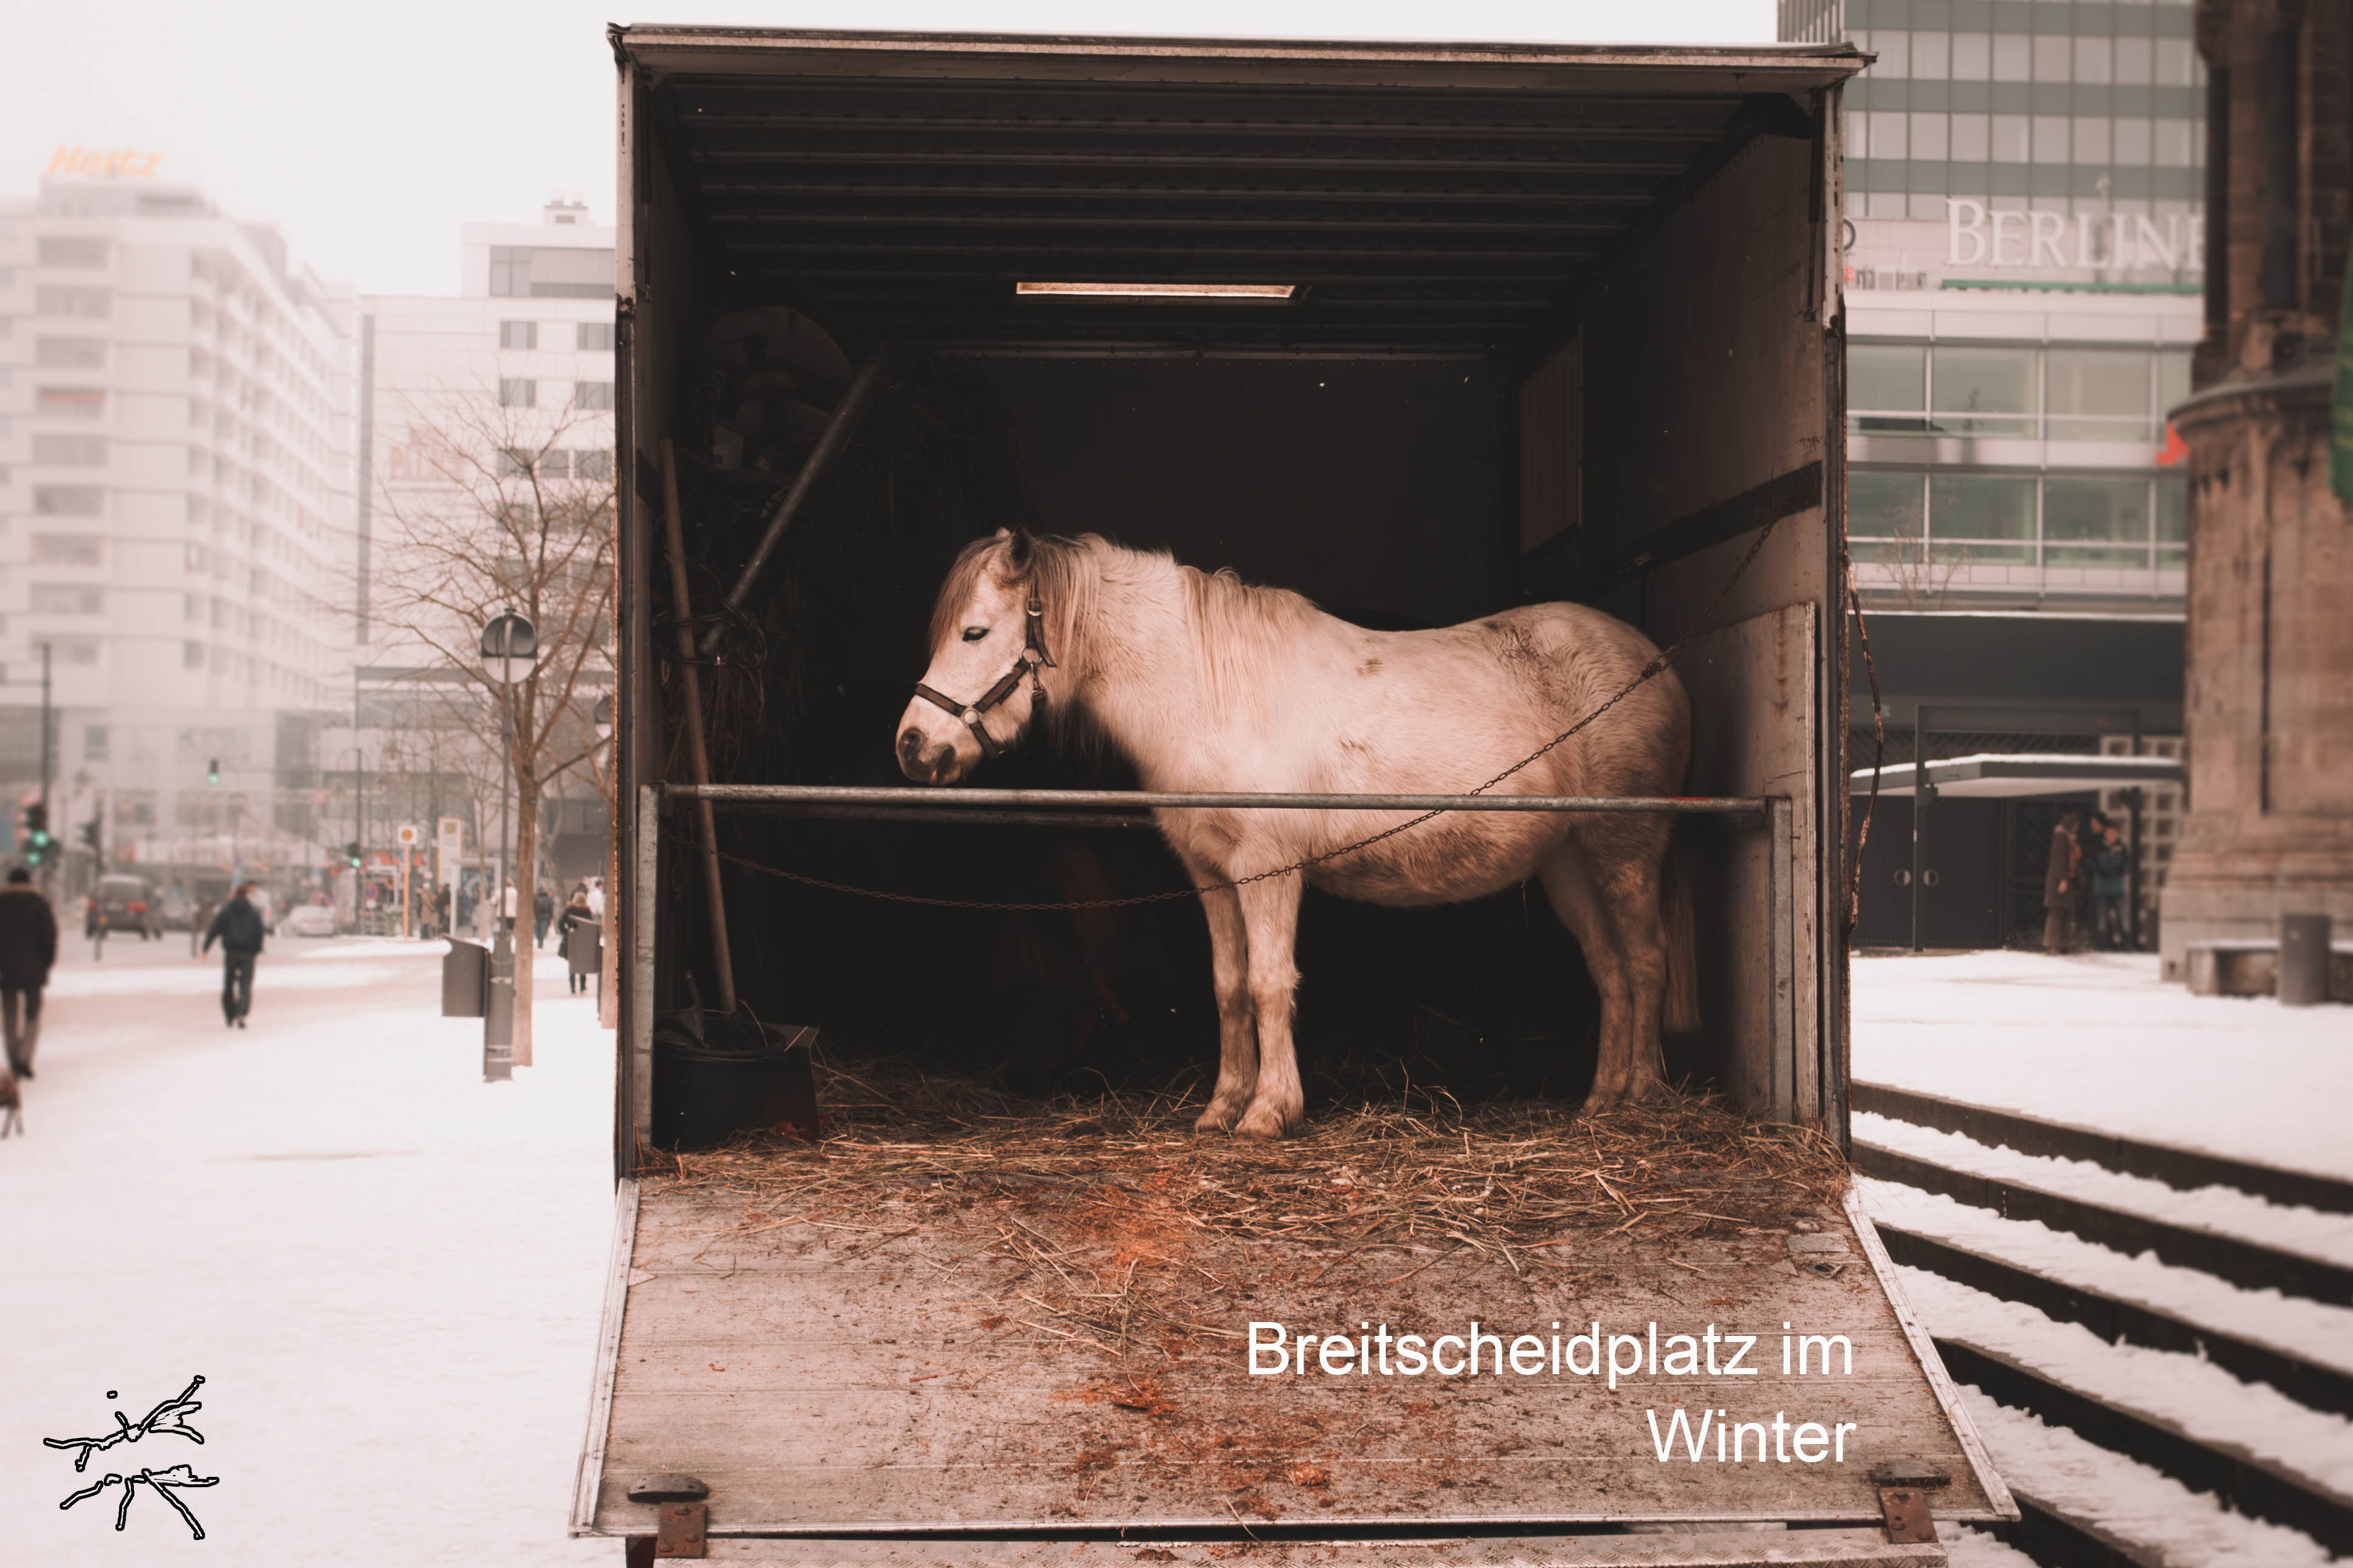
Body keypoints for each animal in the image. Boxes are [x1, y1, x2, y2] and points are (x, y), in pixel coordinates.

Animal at [897, 530, 1695, 1140]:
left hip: (1623, 849)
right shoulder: (1211, 874)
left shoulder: (1268, 869)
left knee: (1646, 959)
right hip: (1568, 862)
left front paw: (1269, 1112)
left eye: (974, 631)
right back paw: (1600, 1100)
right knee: (1609, 970)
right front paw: (1221, 1107)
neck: (1212, 692)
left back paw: (1642, 1095)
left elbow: (1268, 982)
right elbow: (1227, 986)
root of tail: (1653, 661)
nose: (912, 748)